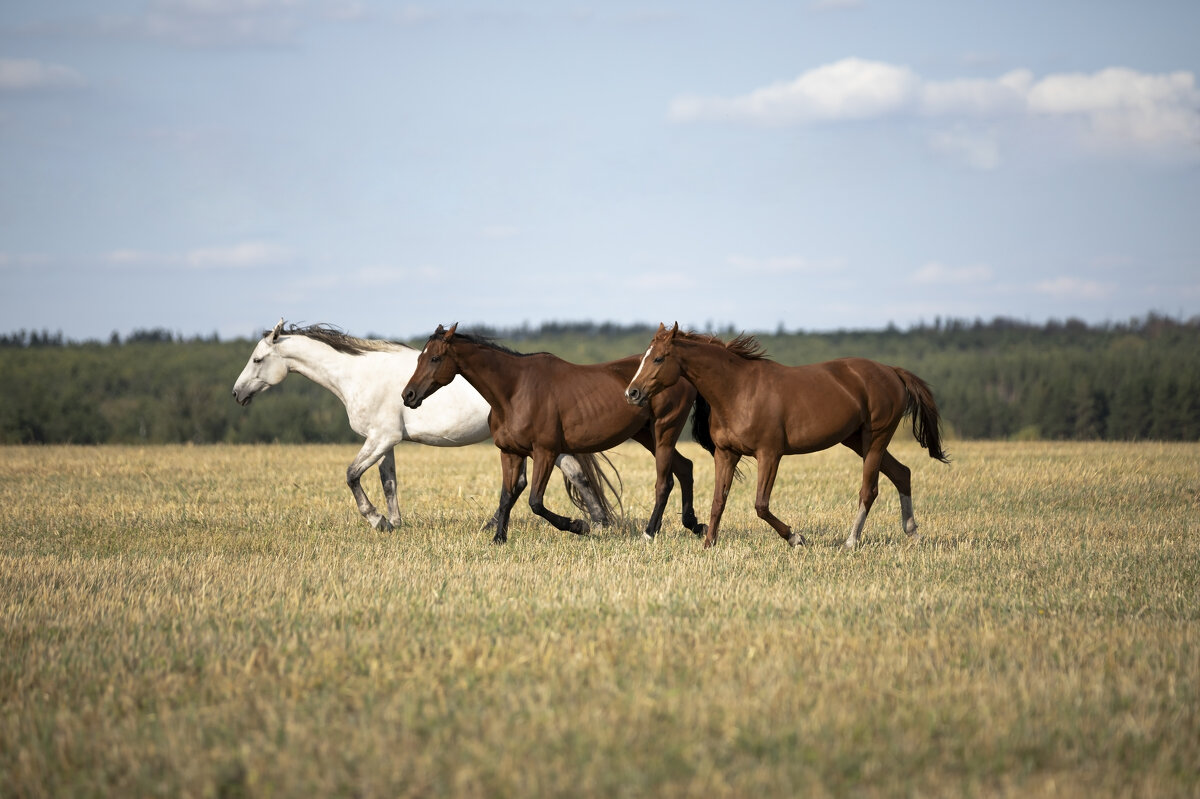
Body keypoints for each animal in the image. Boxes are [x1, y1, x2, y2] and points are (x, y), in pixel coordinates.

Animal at [230, 316, 614, 527]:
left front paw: (377, 522)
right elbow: (389, 482)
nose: (237, 393)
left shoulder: (380, 439)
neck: (358, 375)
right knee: (567, 475)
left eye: (257, 359)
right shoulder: (385, 442)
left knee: (572, 474)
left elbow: (352, 475)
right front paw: (395, 523)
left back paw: (596, 525)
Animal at [398, 323, 705, 542]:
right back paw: (694, 525)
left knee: (665, 481)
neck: (514, 390)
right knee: (685, 467)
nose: (408, 395)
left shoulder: (545, 452)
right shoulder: (510, 452)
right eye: (420, 358)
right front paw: (499, 538)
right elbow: (507, 495)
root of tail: (684, 372)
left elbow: (535, 501)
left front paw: (578, 525)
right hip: (646, 435)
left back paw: (650, 532)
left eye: (435, 358)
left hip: (664, 431)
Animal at [624, 323, 950, 547]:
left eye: (659, 358)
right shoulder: (726, 454)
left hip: (876, 438)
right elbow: (719, 501)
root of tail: (892, 372)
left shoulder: (770, 454)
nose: (632, 393)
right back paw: (913, 534)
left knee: (869, 490)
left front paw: (796, 538)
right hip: (857, 440)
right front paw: (708, 544)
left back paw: (850, 542)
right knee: (902, 473)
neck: (737, 390)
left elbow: (760, 505)